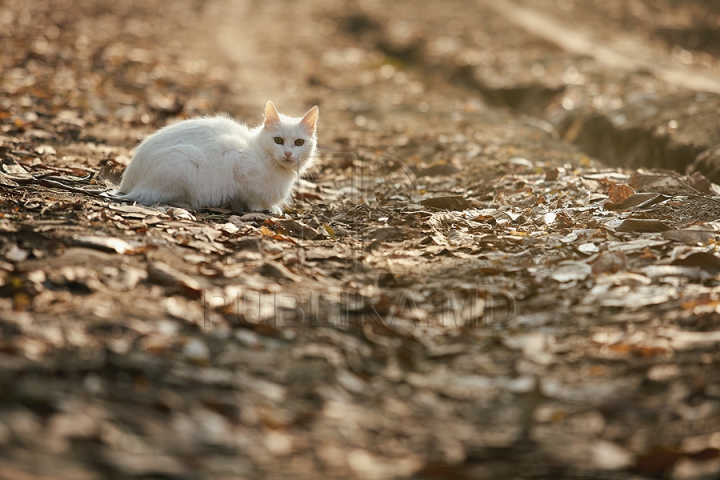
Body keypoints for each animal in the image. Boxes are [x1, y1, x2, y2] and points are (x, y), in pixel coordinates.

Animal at [116, 101, 320, 214]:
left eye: (299, 142)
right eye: (278, 140)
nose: (288, 153)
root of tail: (126, 185)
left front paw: (273, 208)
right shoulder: (236, 163)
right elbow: (251, 199)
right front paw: (259, 209)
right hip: (184, 164)